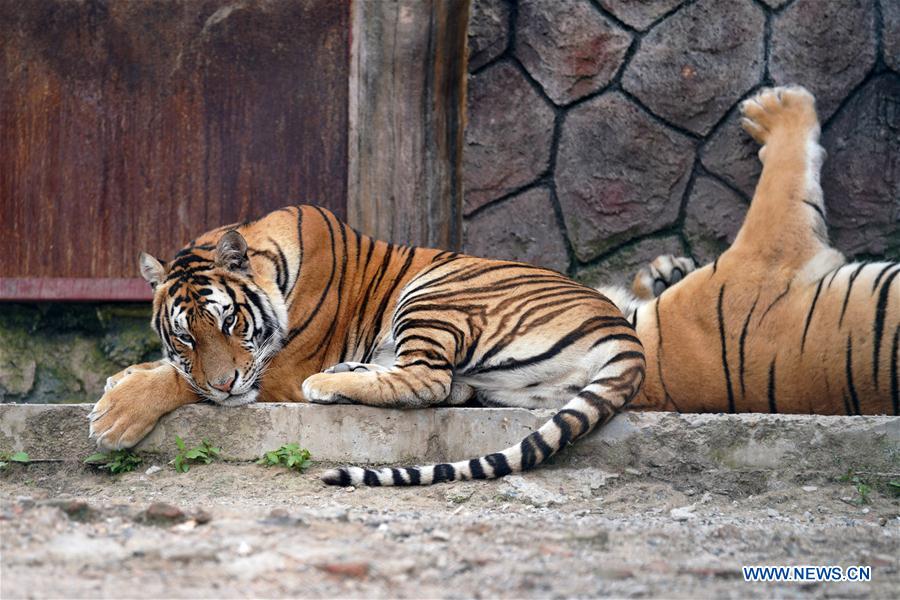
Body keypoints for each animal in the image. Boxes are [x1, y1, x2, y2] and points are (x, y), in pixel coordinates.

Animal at [88, 206, 645, 486]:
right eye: (186, 334)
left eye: (229, 322)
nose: (226, 385)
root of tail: (622, 327)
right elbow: (173, 368)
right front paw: (123, 377)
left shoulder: (279, 368)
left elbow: (183, 382)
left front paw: (115, 414)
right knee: (449, 386)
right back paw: (346, 374)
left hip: (437, 287)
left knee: (428, 380)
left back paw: (325, 384)